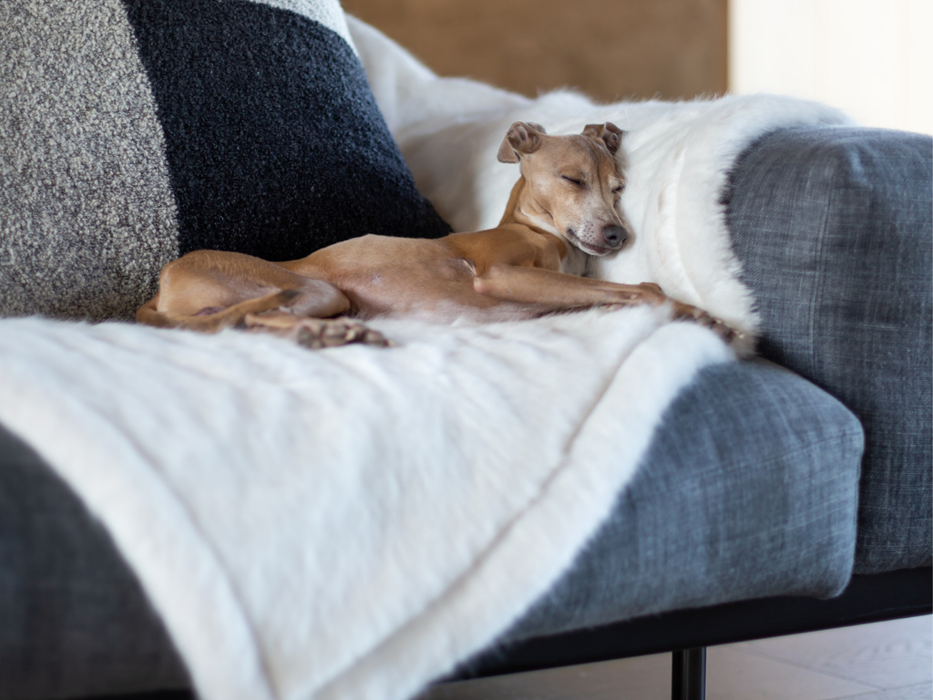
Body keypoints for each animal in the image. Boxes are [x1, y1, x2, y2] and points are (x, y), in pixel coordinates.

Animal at [140, 124, 736, 348]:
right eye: (572, 179)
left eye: (619, 187)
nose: (616, 236)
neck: (541, 235)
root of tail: (158, 292)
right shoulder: (500, 277)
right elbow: (643, 288)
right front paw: (705, 316)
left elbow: (620, 292)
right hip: (312, 287)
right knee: (252, 318)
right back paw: (327, 333)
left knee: (247, 323)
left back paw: (331, 333)